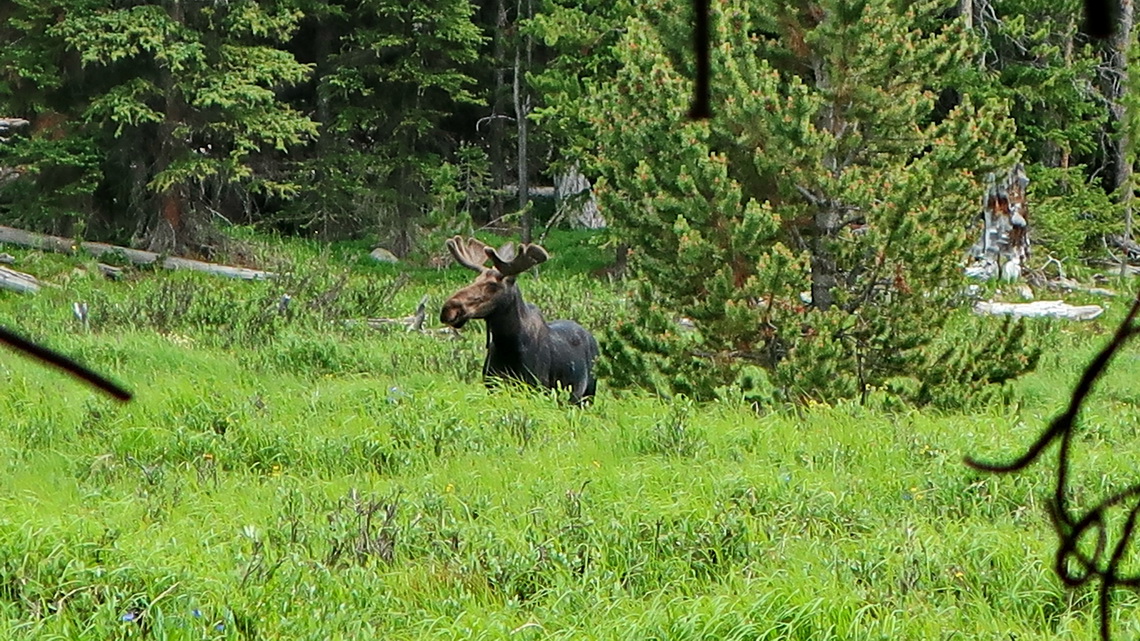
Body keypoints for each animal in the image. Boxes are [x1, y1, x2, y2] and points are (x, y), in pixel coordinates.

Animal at [437, 234, 601, 403]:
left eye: (493, 286)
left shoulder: (536, 387)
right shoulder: (493, 386)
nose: (448, 309)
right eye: (475, 280)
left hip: (588, 393)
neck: (508, 346)